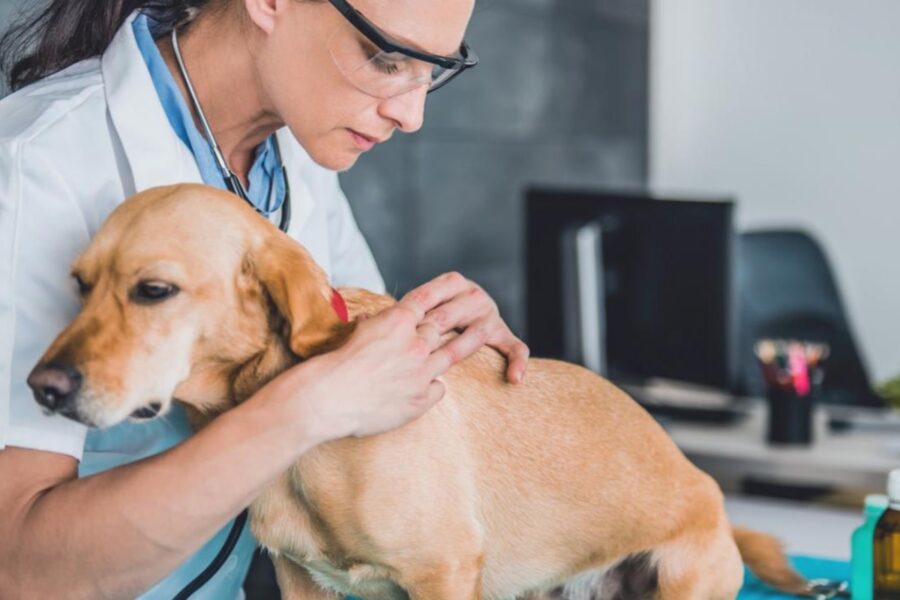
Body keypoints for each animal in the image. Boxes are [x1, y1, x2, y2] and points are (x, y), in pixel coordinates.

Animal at [29, 185, 808, 596]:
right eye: (78, 285)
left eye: (154, 290)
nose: (40, 388)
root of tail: (709, 493)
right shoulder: (304, 581)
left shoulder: (443, 572)